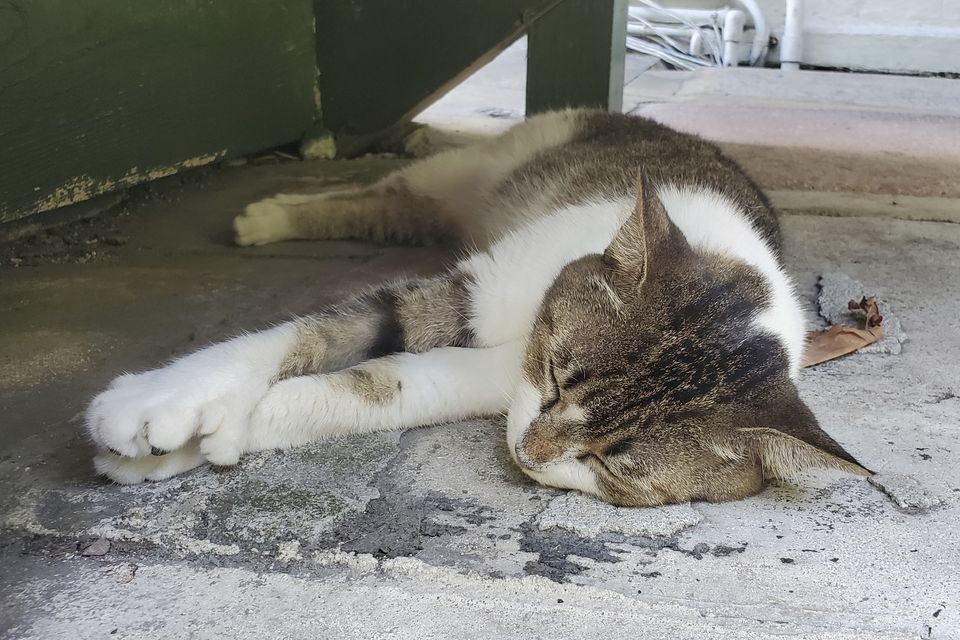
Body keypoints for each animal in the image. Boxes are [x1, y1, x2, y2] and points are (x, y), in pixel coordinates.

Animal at [88, 111, 872, 510]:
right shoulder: (478, 290)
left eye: (613, 466)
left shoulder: (491, 382)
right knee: (381, 194)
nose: (528, 453)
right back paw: (271, 216)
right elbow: (318, 331)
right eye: (557, 375)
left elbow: (381, 386)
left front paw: (201, 443)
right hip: (464, 165)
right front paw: (169, 397)